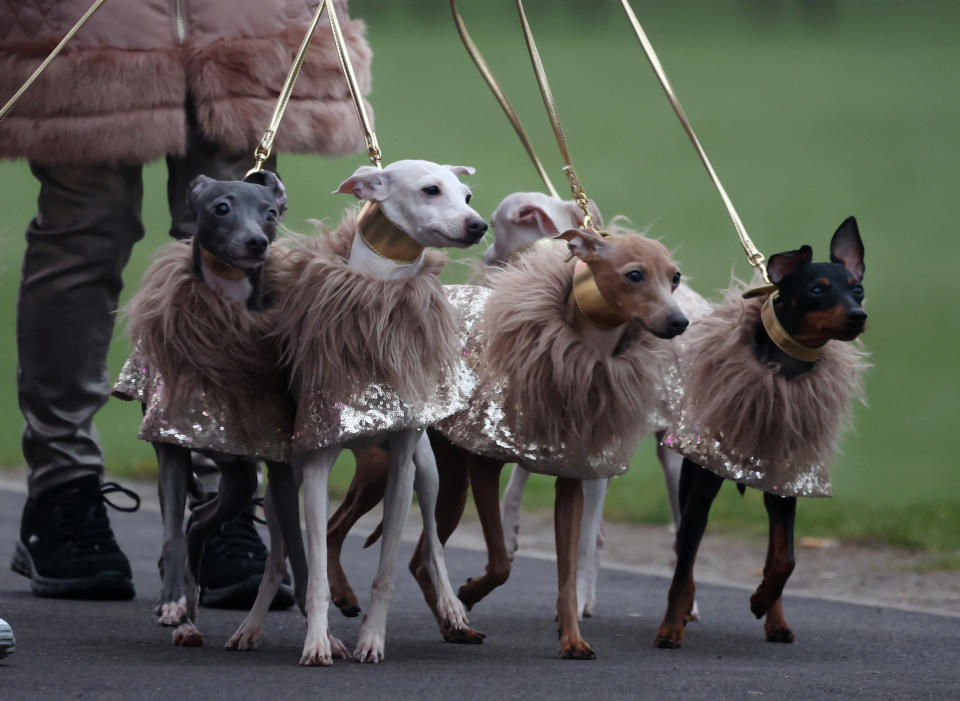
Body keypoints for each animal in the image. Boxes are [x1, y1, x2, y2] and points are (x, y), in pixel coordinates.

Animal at [652, 216, 872, 648]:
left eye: (857, 288)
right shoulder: (703, 484)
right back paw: (681, 615)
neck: (783, 370)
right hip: (693, 481)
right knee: (685, 553)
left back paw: (776, 620)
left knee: (771, 556)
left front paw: (761, 599)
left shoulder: (786, 485)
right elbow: (684, 566)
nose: (858, 315)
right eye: (817, 289)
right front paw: (670, 627)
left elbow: (785, 559)